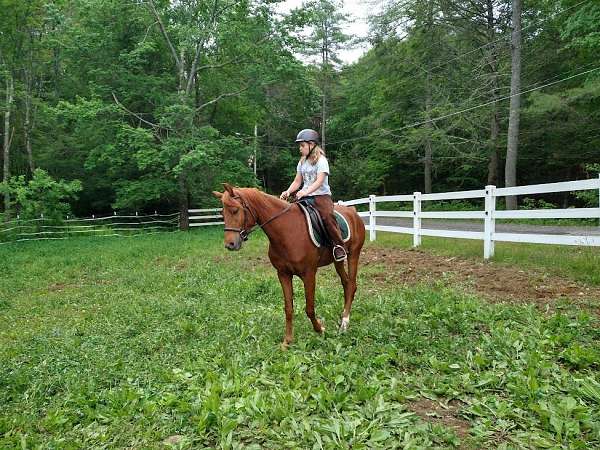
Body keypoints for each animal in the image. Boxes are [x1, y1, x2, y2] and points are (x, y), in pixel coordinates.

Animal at [216, 183, 366, 348]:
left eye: (235, 210)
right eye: (222, 214)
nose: (230, 244)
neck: (287, 230)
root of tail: (353, 212)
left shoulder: (309, 274)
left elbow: (309, 308)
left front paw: (320, 329)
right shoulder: (283, 274)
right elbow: (288, 308)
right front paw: (287, 341)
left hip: (353, 255)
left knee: (351, 284)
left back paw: (344, 322)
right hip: (337, 261)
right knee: (346, 283)